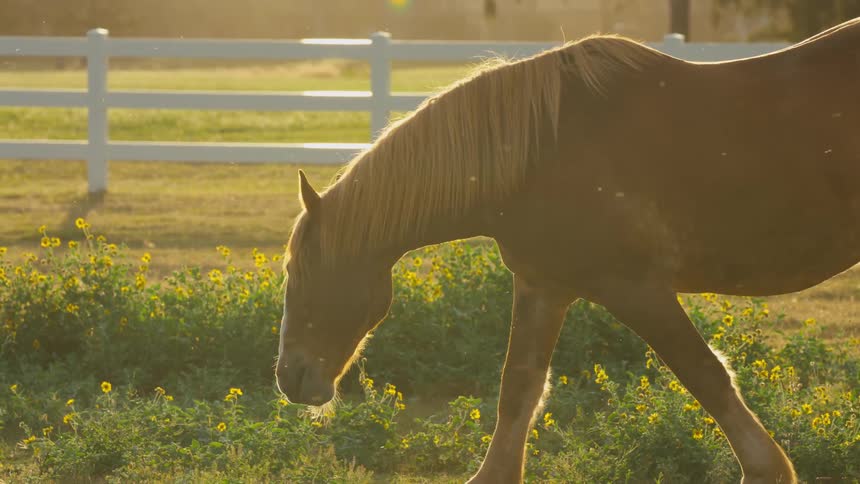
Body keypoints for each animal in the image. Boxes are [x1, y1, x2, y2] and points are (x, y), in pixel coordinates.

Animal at [276, 17, 860, 483]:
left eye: (299, 274)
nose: (289, 378)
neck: (538, 153)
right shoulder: (545, 286)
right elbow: (519, 388)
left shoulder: (637, 289)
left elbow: (706, 375)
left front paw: (767, 469)